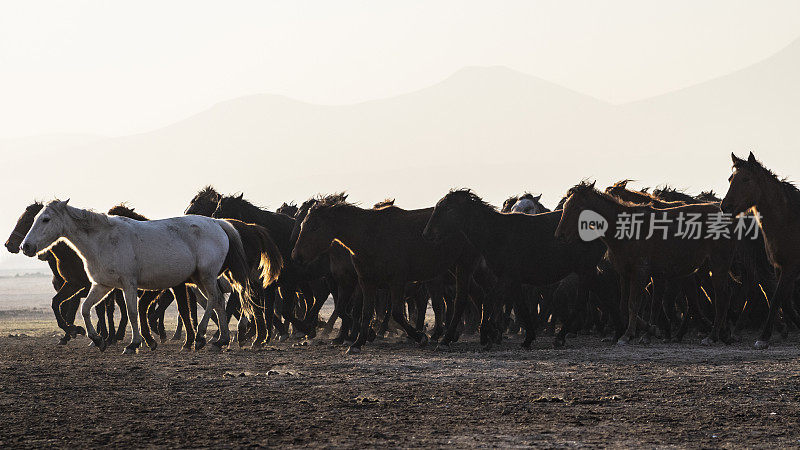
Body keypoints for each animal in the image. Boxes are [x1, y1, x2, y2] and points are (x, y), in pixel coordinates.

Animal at [21, 201, 255, 356]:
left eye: (45, 219)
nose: (26, 247)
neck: (103, 240)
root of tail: (218, 224)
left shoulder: (128, 285)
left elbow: (133, 313)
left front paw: (133, 344)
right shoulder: (101, 285)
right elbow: (86, 309)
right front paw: (97, 339)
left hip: (205, 277)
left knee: (214, 301)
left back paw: (201, 337)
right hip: (199, 279)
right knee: (218, 302)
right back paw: (220, 340)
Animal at [720, 151, 800, 348]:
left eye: (746, 179)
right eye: (730, 179)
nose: (725, 207)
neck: (789, 221)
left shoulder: (791, 266)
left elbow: (776, 297)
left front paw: (763, 337)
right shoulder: (780, 267)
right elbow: (783, 300)